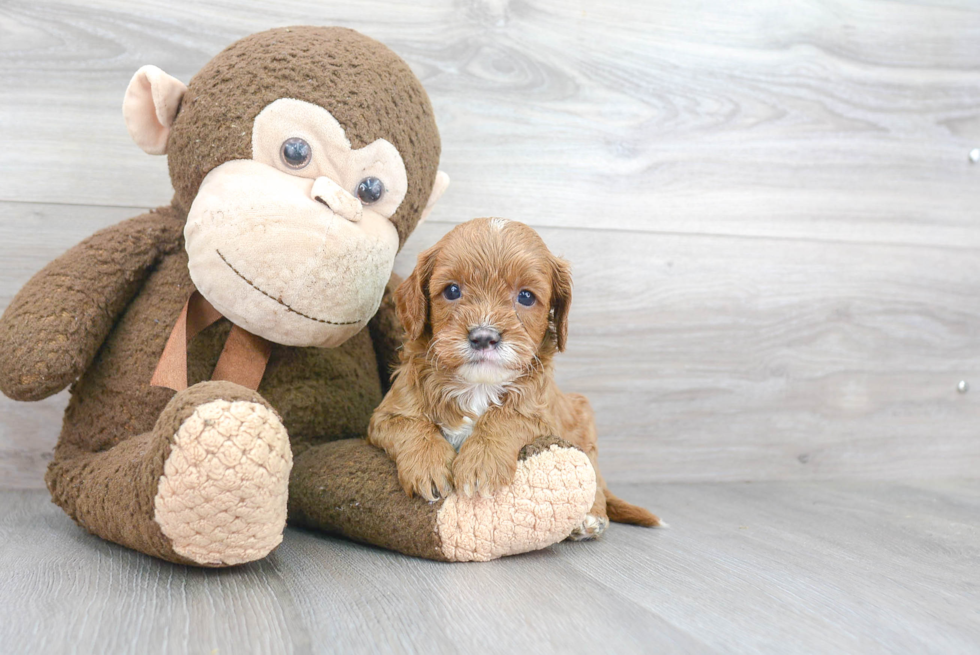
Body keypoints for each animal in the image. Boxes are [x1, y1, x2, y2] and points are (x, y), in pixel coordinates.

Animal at [366, 219, 660, 540]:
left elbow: (505, 417)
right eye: (452, 290)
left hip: (583, 421)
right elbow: (411, 425)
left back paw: (591, 517)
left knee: (594, 476)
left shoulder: (540, 414)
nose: (484, 337)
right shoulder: (388, 413)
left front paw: (480, 465)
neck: (478, 385)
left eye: (526, 296)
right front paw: (428, 466)